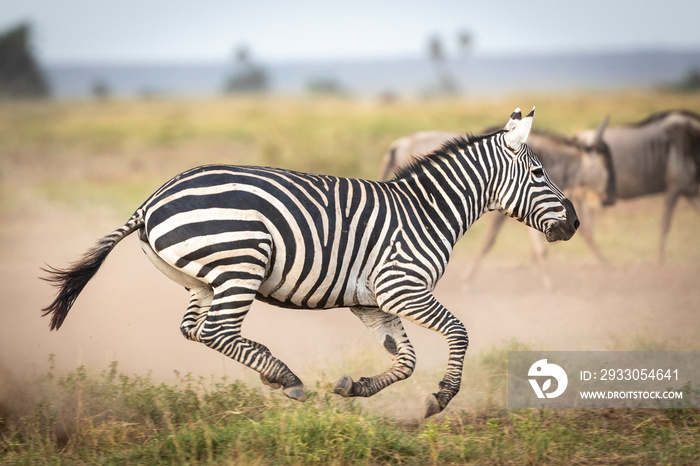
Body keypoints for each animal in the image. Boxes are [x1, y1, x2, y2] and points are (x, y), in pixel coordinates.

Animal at [43, 107, 580, 416]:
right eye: (539, 173)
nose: (574, 223)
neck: (427, 210)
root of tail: (153, 199)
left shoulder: (371, 302)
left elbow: (404, 360)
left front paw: (356, 387)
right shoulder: (402, 287)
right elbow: (459, 332)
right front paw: (441, 398)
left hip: (201, 281)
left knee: (193, 330)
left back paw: (272, 373)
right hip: (241, 265)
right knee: (216, 331)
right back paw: (286, 377)